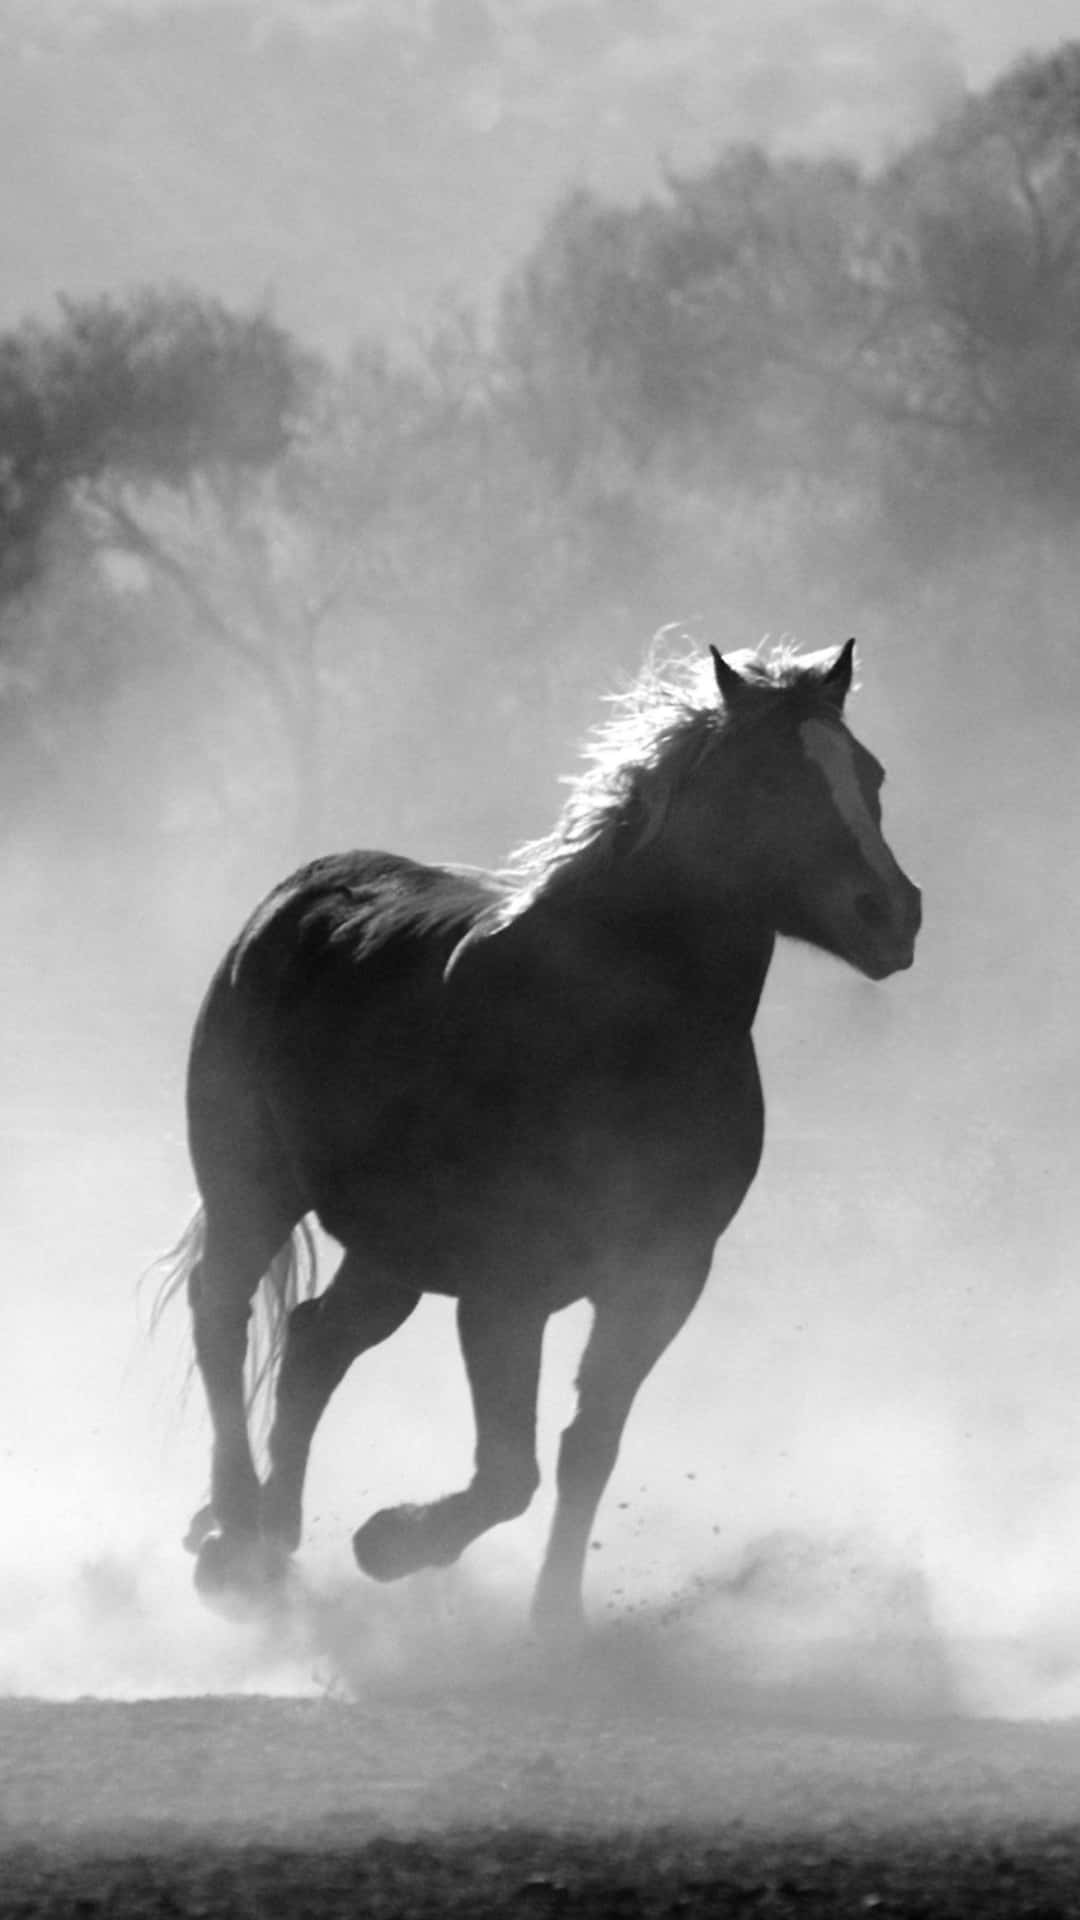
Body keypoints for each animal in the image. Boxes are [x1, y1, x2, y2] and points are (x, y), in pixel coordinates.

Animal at [157, 633, 914, 1635]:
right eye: (767, 782)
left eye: (868, 774)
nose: (892, 913)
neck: (617, 1030)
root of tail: (289, 901)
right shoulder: (505, 1287)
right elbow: (509, 1470)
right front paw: (391, 1542)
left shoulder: (661, 1277)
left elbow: (586, 1448)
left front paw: (555, 1623)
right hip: (252, 1190)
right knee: (222, 1314)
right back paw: (237, 1536)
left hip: (392, 1252)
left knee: (315, 1344)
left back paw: (274, 1541)